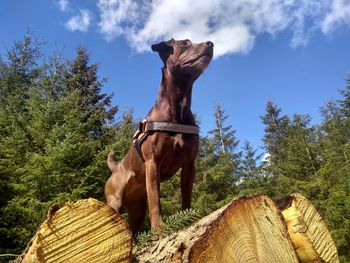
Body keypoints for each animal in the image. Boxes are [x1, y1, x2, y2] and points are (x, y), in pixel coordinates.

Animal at [104, 38, 213, 234]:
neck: (177, 109)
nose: (210, 43)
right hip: (114, 202)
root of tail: (115, 169)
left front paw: (188, 218)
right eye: (185, 43)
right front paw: (159, 228)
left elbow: (186, 196)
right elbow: (155, 200)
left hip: (138, 211)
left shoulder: (189, 165)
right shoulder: (153, 163)